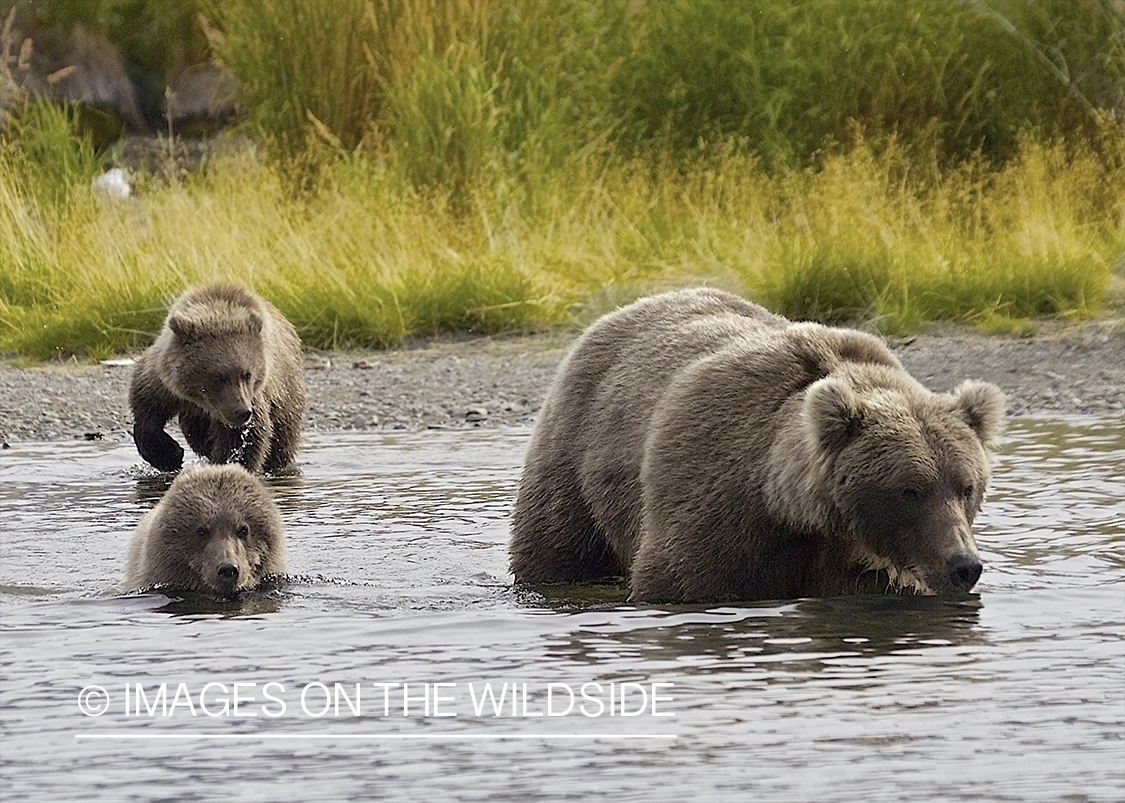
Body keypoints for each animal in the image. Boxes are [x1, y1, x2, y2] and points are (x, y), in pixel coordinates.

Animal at [510, 287, 1003, 602]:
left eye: (966, 486)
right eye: (910, 490)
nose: (964, 565)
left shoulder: (862, 564)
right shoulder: (714, 491)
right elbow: (678, 578)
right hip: (575, 453)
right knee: (558, 545)